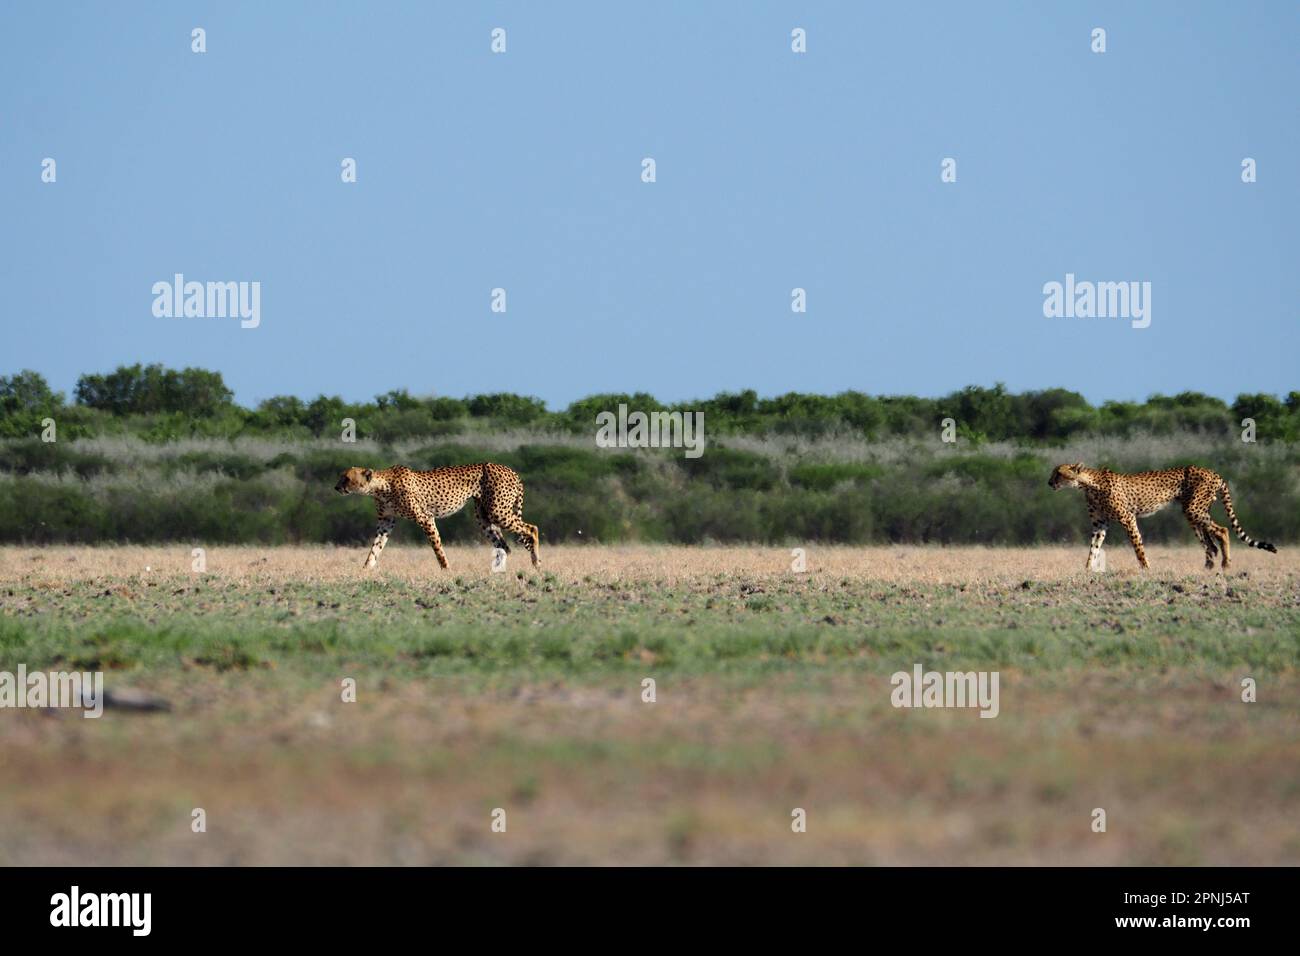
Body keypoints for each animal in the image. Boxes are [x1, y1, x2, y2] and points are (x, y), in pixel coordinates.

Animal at [335, 463, 543, 567]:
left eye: (346, 478)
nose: (336, 487)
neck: (381, 486)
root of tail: (511, 470)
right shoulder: (386, 522)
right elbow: (375, 548)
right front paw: (364, 570)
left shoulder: (425, 517)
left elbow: (437, 547)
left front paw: (446, 569)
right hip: (485, 518)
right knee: (504, 546)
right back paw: (498, 573)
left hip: (498, 512)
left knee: (531, 529)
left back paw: (537, 564)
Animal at [1045, 463, 1279, 567]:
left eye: (1058, 473)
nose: (1049, 483)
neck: (1088, 484)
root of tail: (1212, 472)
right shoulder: (1100, 524)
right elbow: (1093, 549)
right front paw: (1086, 572)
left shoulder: (1127, 518)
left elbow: (1138, 547)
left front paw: (1146, 569)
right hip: (1194, 512)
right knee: (1210, 545)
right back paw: (1209, 569)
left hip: (1194, 509)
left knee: (1222, 530)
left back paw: (1226, 564)